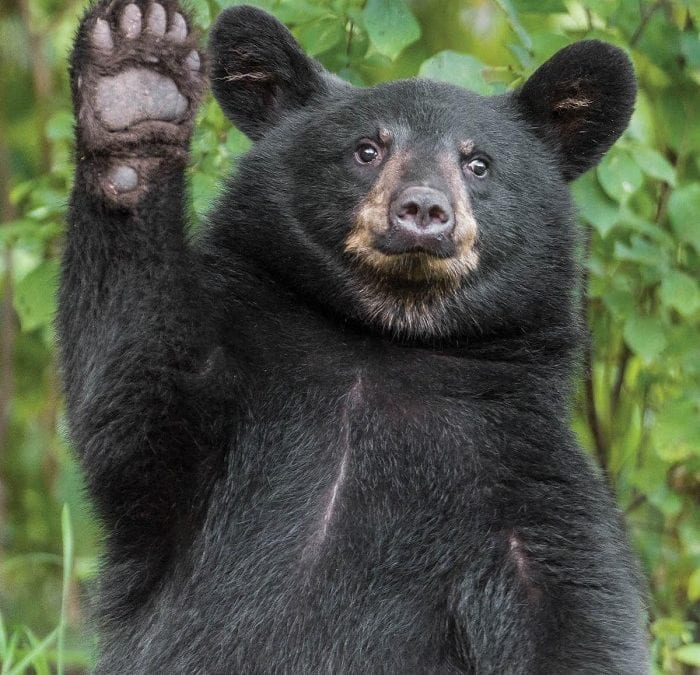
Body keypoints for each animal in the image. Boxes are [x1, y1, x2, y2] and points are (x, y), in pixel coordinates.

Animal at [58, 1, 650, 673]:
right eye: (367, 149)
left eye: (477, 163)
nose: (423, 211)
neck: (385, 340)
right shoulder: (227, 427)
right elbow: (136, 406)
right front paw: (134, 79)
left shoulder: (524, 478)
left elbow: (576, 615)